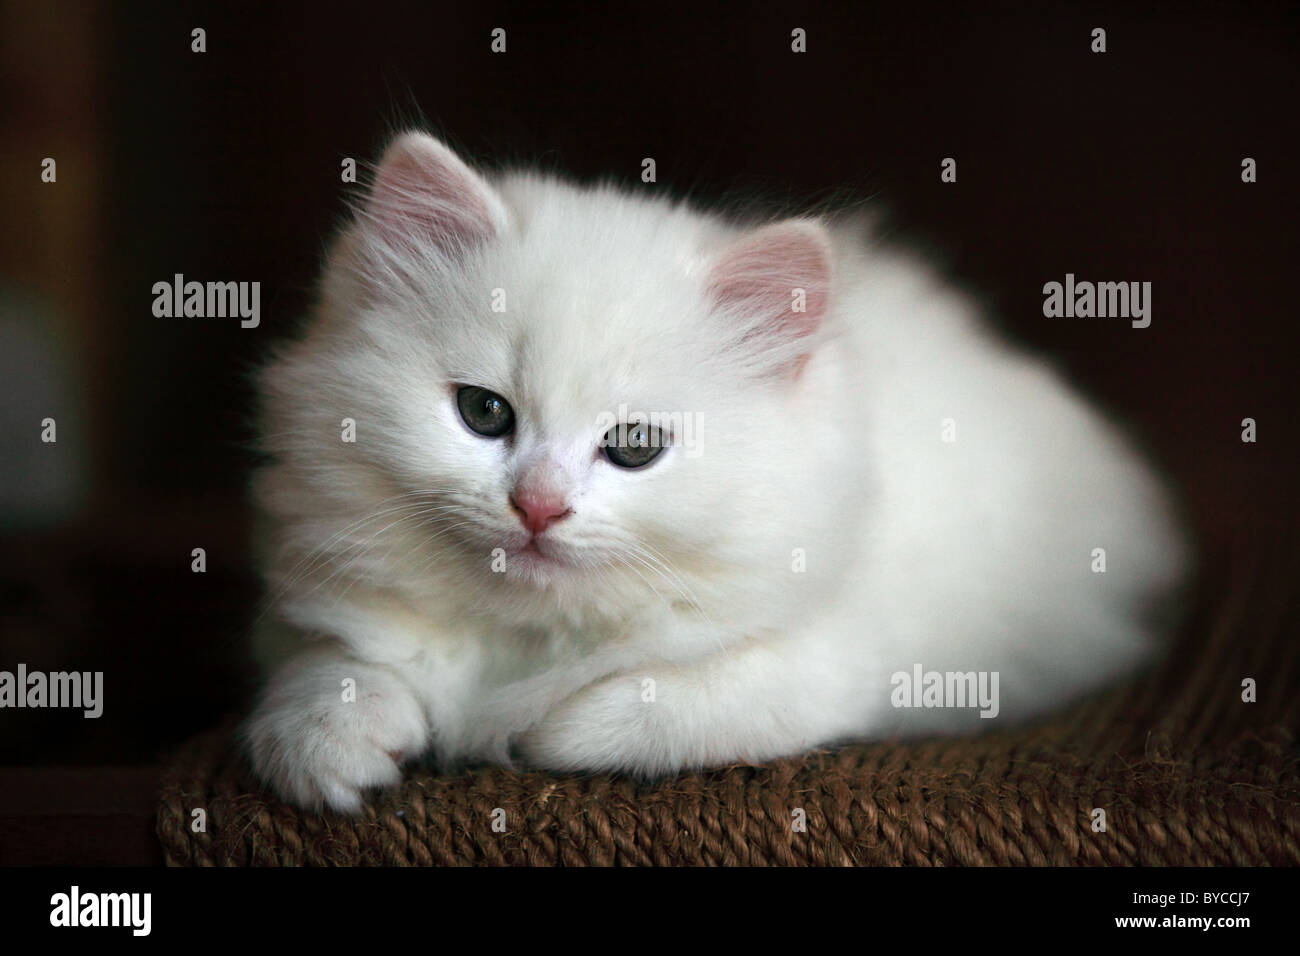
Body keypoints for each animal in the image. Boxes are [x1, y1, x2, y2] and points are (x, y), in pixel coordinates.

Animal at [244, 130, 1190, 811]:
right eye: (484, 414)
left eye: (633, 446)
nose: (538, 506)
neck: (532, 635)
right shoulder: (308, 601)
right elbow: (328, 664)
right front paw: (327, 748)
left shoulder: (835, 662)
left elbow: (661, 705)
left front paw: (532, 732)